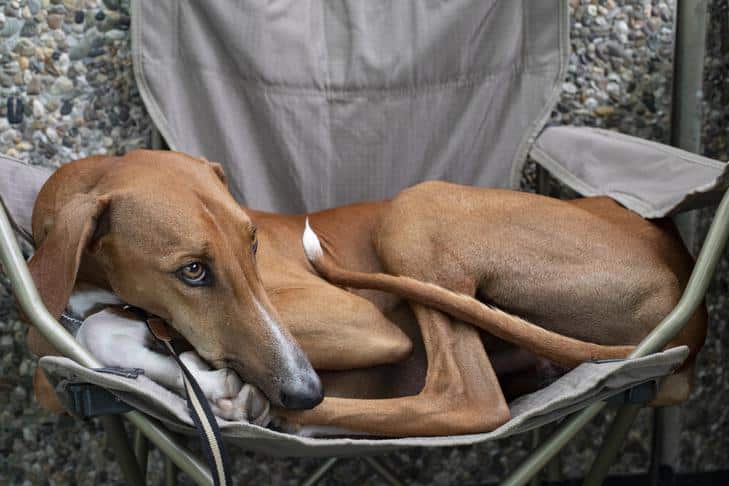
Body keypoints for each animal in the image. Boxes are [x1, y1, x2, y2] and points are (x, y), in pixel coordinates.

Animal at [25, 151, 704, 436]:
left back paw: (283, 416)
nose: (305, 387)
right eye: (192, 271)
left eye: (253, 242)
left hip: (415, 209)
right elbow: (98, 334)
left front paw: (223, 386)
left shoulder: (358, 320)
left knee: (469, 398)